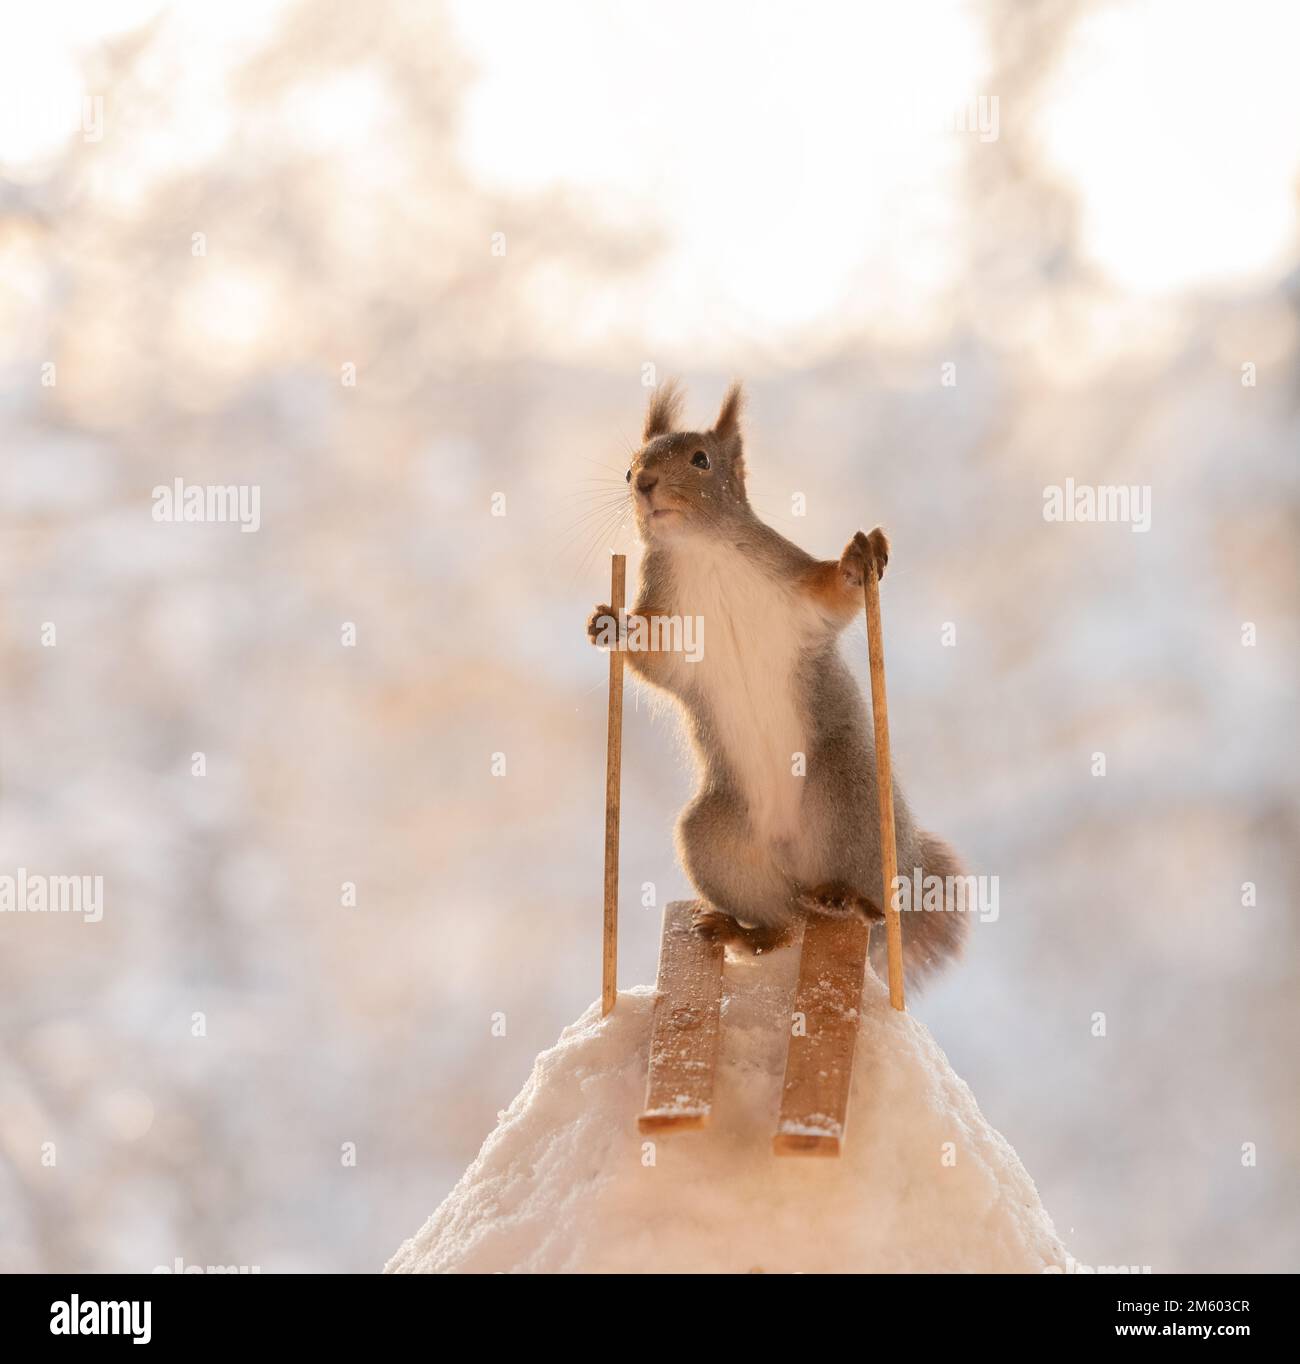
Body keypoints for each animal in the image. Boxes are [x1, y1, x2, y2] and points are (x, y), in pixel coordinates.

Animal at [587, 381, 967, 986]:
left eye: (701, 460)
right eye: (628, 469)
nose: (644, 485)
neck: (701, 551)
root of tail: (799, 867)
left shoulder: (796, 588)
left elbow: (833, 594)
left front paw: (859, 557)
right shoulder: (671, 629)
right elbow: (653, 661)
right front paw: (610, 624)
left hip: (851, 793)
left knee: (869, 899)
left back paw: (852, 899)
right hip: (715, 838)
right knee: (783, 925)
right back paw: (747, 931)